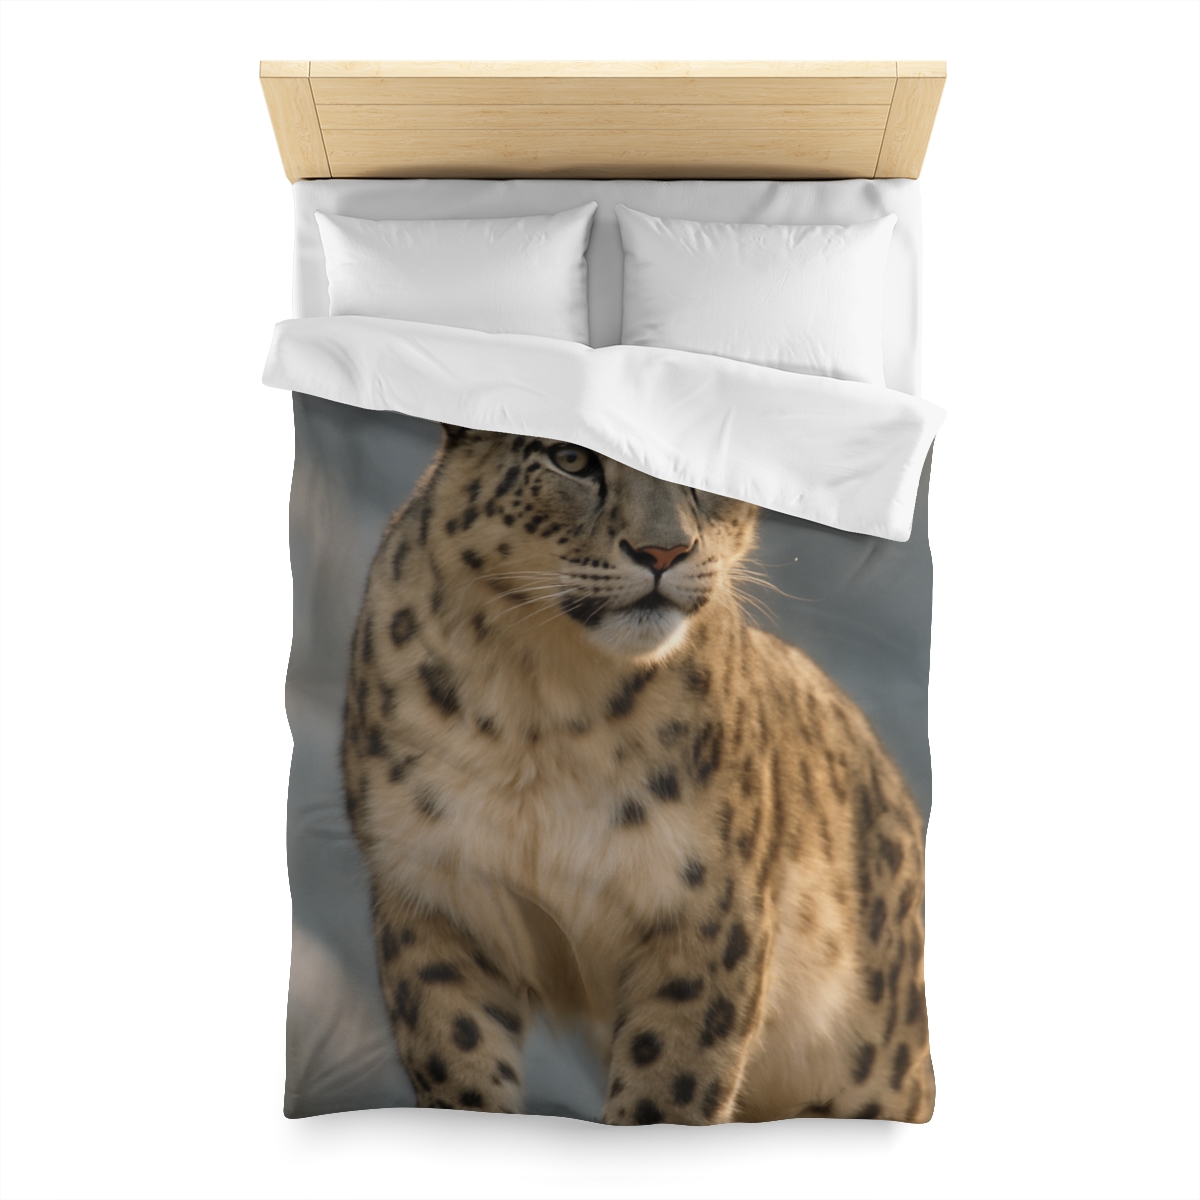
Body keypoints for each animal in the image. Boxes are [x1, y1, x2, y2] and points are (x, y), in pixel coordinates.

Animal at [342, 425, 933, 1125]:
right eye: (570, 458)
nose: (663, 550)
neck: (540, 704)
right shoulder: (435, 895)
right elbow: (457, 1057)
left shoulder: (706, 912)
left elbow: (667, 1087)